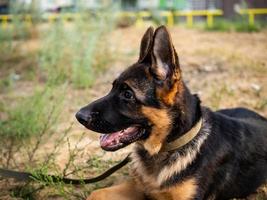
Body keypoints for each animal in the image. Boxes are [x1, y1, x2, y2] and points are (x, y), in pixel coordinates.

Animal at [75, 25, 267, 199]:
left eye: (127, 94)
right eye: (112, 88)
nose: (79, 116)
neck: (168, 146)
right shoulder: (137, 187)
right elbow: (96, 193)